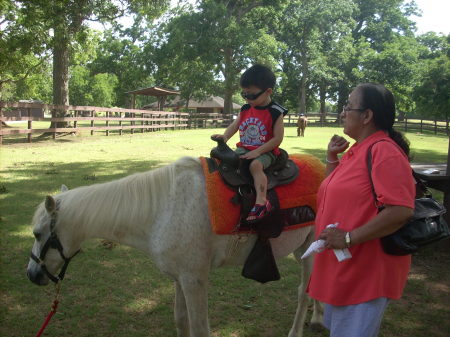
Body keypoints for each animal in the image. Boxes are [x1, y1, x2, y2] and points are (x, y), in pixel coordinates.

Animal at [27, 155, 324, 336]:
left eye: (38, 233)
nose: (31, 274)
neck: (162, 208)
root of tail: (322, 166)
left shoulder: (194, 280)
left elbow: (200, 328)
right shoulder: (179, 278)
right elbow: (181, 320)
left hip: (310, 248)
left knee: (303, 291)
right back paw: (318, 319)